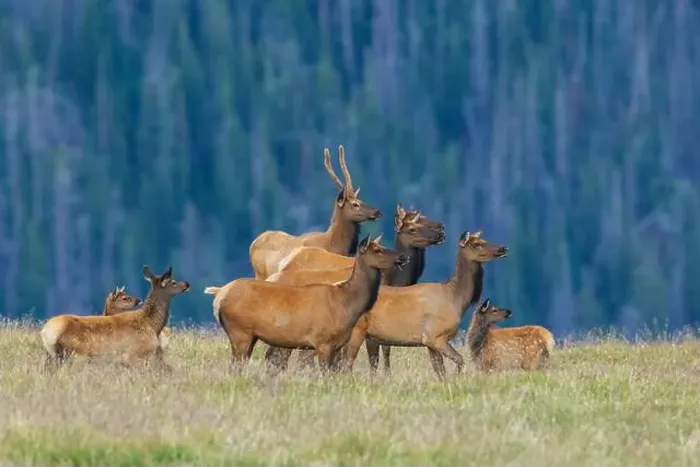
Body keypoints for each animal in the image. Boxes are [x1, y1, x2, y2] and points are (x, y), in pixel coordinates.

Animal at [40, 266, 190, 372]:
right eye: (173, 282)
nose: (187, 283)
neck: (152, 325)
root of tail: (47, 332)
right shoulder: (134, 355)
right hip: (77, 355)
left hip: (52, 356)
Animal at [205, 234, 408, 372]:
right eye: (378, 250)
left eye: (382, 245)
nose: (403, 257)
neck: (347, 304)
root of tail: (219, 297)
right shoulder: (322, 340)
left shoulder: (336, 344)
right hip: (240, 331)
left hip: (249, 336)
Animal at [248, 145, 381, 280]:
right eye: (355, 204)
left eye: (361, 200)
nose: (377, 212)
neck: (334, 245)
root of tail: (253, 243)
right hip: (260, 274)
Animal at [340, 230, 508, 379]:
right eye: (477, 243)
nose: (503, 248)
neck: (456, 299)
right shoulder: (435, 335)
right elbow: (459, 360)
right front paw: (458, 379)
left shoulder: (429, 343)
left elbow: (440, 370)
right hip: (357, 330)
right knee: (347, 363)